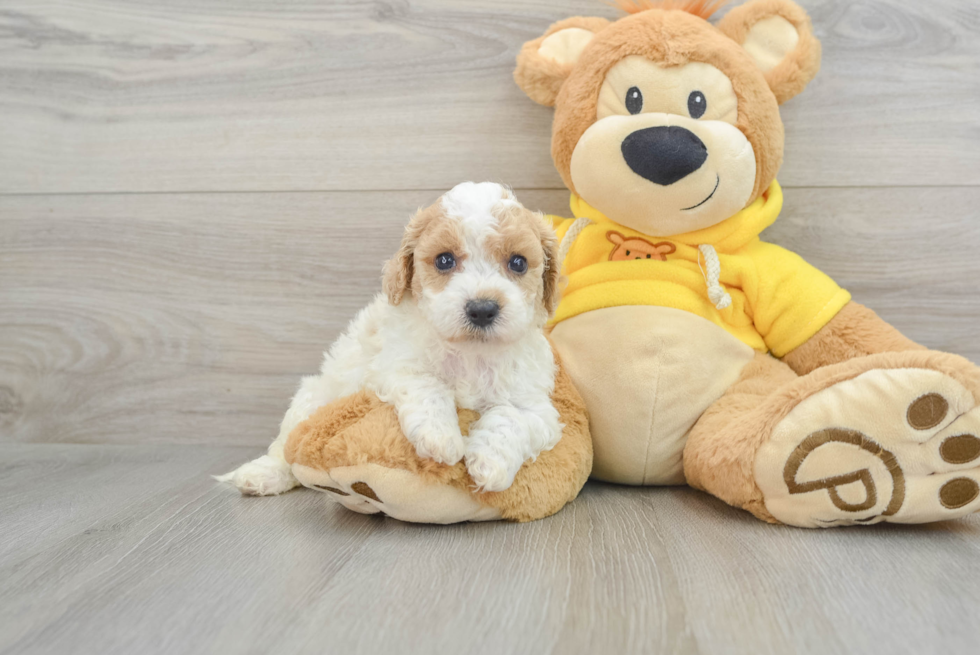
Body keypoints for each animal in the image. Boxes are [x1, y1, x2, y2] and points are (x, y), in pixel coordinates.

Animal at [218, 182, 564, 494]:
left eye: (518, 262)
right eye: (444, 260)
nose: (482, 309)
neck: (470, 353)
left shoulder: (536, 407)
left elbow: (512, 418)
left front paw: (491, 464)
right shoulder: (392, 366)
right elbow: (428, 385)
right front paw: (441, 438)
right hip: (313, 397)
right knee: (286, 446)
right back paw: (261, 476)